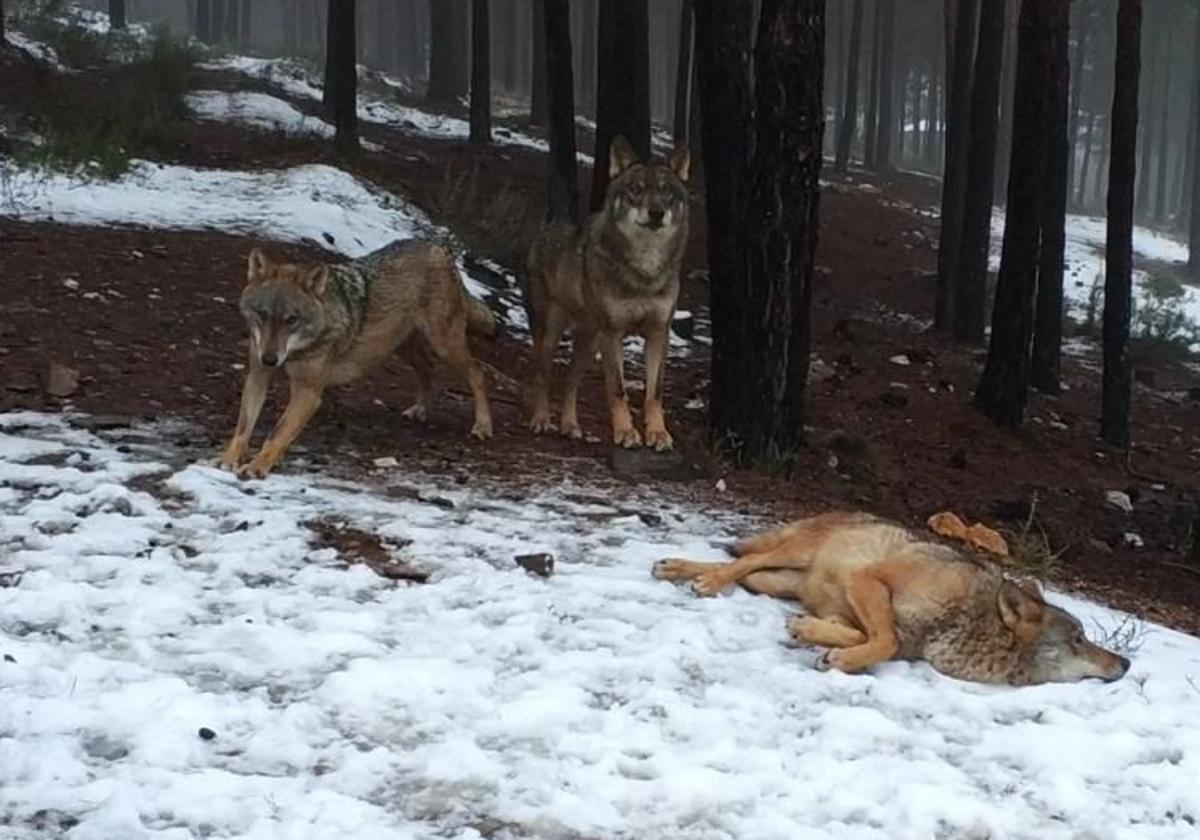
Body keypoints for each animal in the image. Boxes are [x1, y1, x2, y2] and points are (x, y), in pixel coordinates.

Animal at [218, 242, 494, 480]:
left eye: (291, 320)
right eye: (263, 315)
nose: (270, 358)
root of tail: (437, 247)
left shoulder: (308, 393)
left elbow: (276, 434)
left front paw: (257, 466)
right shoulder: (257, 376)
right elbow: (243, 427)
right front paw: (228, 459)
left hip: (444, 346)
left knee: (478, 373)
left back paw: (482, 426)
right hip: (402, 348)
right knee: (429, 371)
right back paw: (421, 410)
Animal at [523, 136, 691, 453]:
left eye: (667, 192)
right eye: (636, 189)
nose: (656, 213)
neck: (644, 271)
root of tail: (555, 221)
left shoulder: (658, 334)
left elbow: (654, 394)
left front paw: (658, 433)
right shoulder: (613, 335)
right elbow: (618, 391)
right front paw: (626, 432)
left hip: (589, 345)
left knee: (570, 382)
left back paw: (571, 426)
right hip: (551, 335)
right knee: (541, 377)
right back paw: (540, 420)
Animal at [652, 508, 1128, 686]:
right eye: (1079, 638)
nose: (1126, 663)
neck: (966, 622)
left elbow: (868, 636)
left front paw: (817, 637)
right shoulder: (870, 580)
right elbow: (887, 639)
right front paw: (841, 655)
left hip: (777, 581)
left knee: (740, 567)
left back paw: (679, 568)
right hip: (793, 555)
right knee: (740, 561)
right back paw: (699, 580)